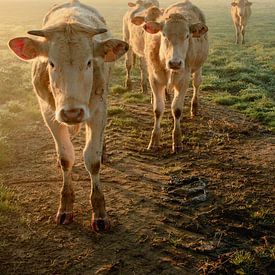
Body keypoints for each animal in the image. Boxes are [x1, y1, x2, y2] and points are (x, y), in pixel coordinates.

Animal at [8, 0, 129, 233]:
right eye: (51, 63)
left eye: (89, 62)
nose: (72, 112)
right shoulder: (49, 112)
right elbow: (66, 157)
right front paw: (65, 207)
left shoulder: (98, 110)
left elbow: (92, 160)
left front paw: (99, 212)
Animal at [132, 0, 209, 153]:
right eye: (164, 34)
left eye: (187, 36)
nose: (175, 62)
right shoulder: (155, 80)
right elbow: (158, 109)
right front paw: (154, 140)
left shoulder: (183, 81)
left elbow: (177, 110)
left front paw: (177, 141)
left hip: (198, 69)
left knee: (196, 85)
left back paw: (194, 107)